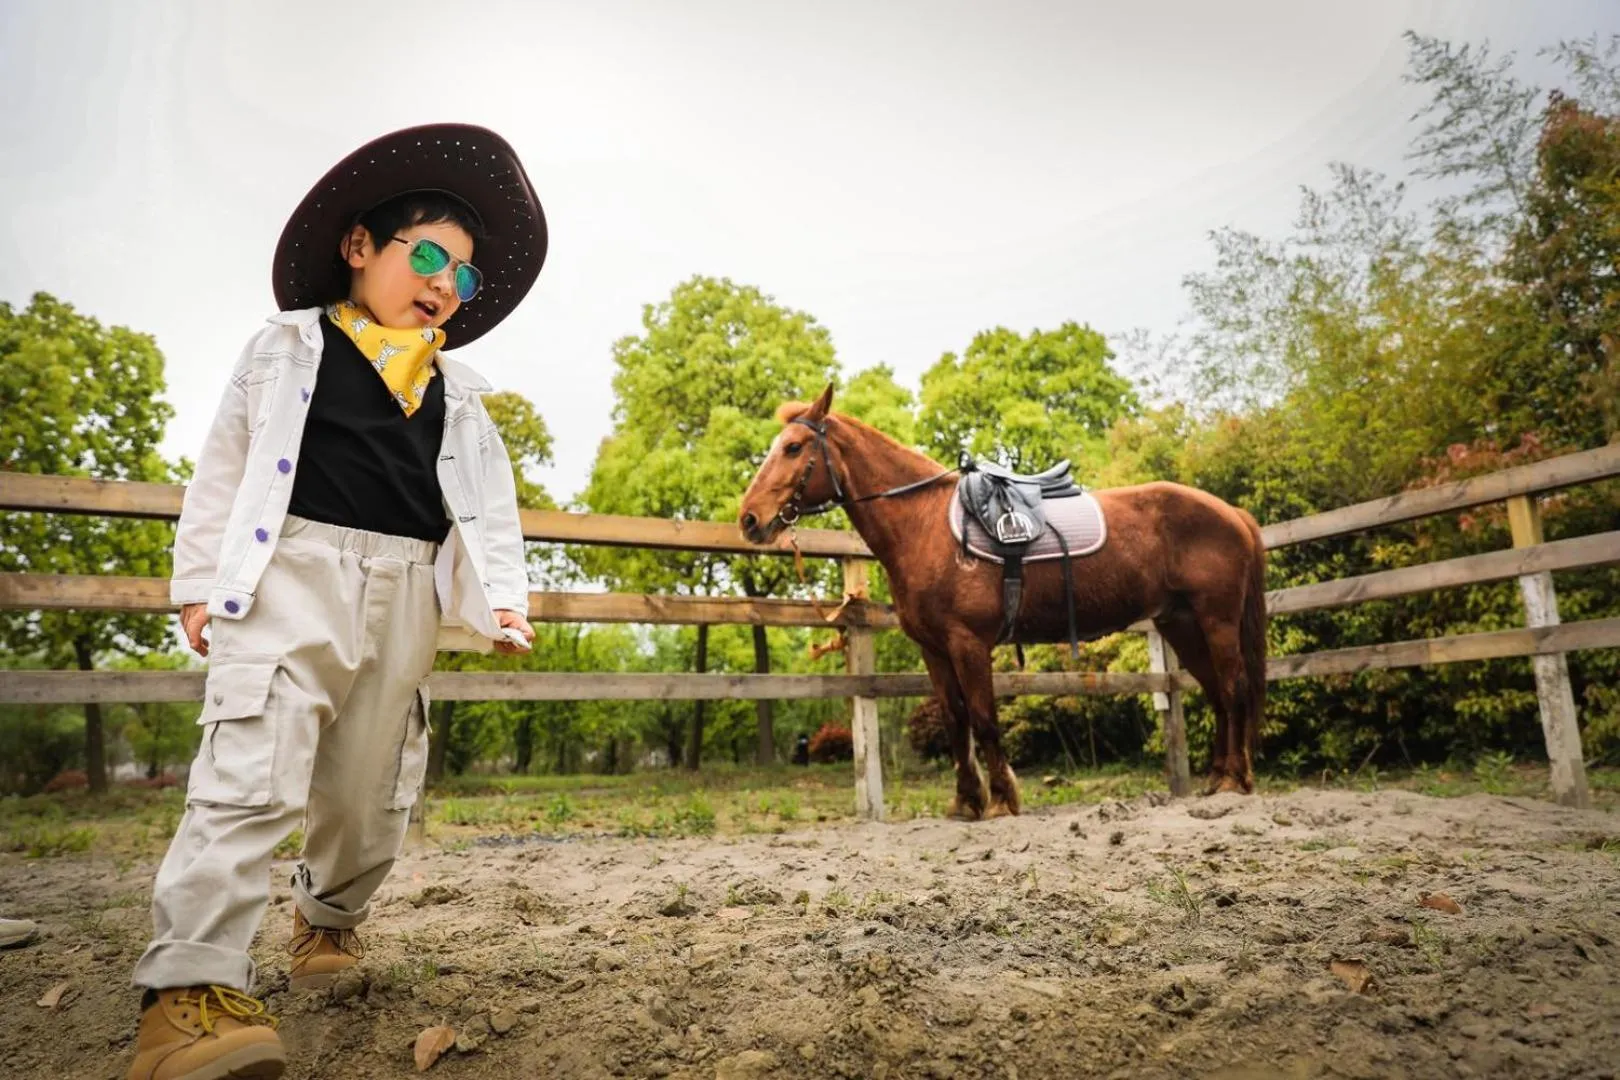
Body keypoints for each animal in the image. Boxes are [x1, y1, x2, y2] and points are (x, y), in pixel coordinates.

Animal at [738, 384, 1268, 819]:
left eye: (793, 447)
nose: (749, 519)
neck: (924, 525)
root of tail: (1232, 513)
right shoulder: (934, 650)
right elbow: (956, 721)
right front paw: (965, 801)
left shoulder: (969, 644)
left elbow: (984, 719)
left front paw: (1000, 800)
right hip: (1182, 623)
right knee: (1217, 694)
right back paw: (1217, 779)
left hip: (1216, 621)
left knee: (1234, 688)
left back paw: (1236, 780)